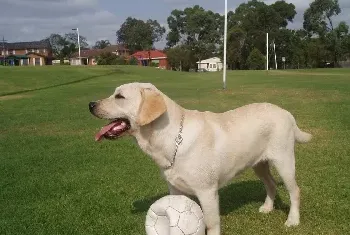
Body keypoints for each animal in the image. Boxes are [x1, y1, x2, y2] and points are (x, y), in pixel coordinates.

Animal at [88, 81, 312, 234]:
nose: (90, 104)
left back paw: (293, 220)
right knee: (271, 184)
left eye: (119, 96)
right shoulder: (175, 189)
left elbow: (212, 225)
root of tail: (286, 113)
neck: (171, 139)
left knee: (295, 191)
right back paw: (267, 208)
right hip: (259, 164)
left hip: (284, 161)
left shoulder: (207, 192)